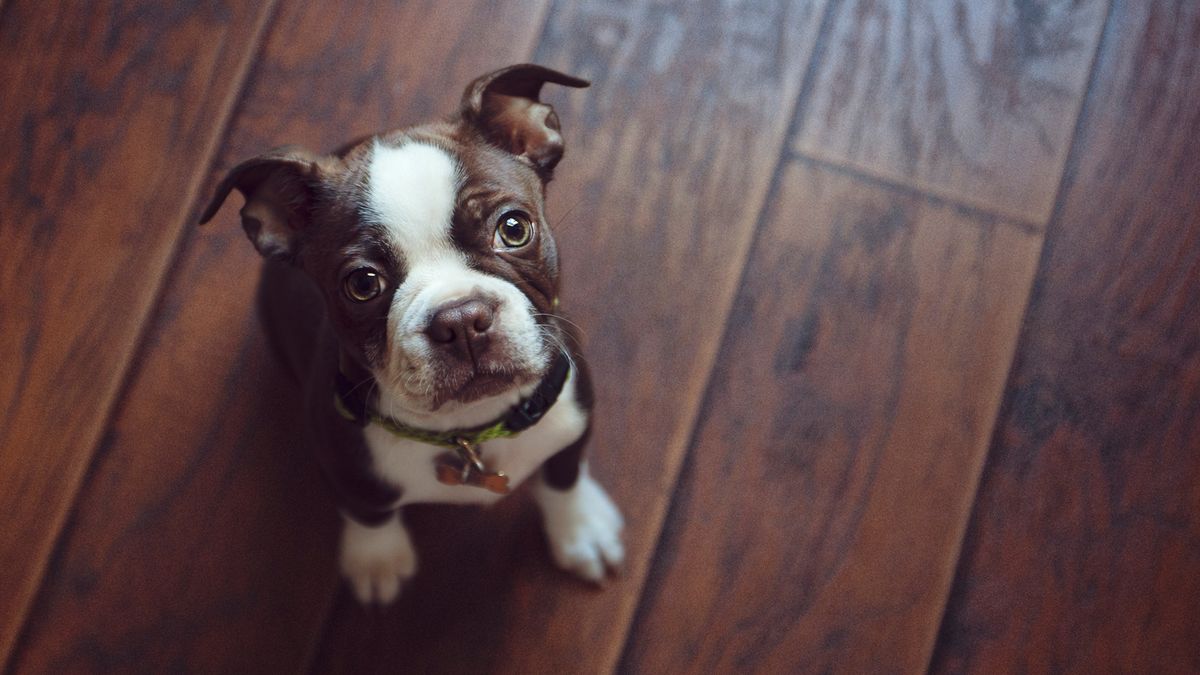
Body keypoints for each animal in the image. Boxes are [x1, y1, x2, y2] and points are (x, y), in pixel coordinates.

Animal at [198, 63, 624, 600]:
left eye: (514, 229)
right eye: (363, 284)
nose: (460, 319)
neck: (470, 431)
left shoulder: (574, 412)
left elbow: (564, 475)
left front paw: (580, 527)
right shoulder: (345, 466)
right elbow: (369, 512)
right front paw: (377, 559)